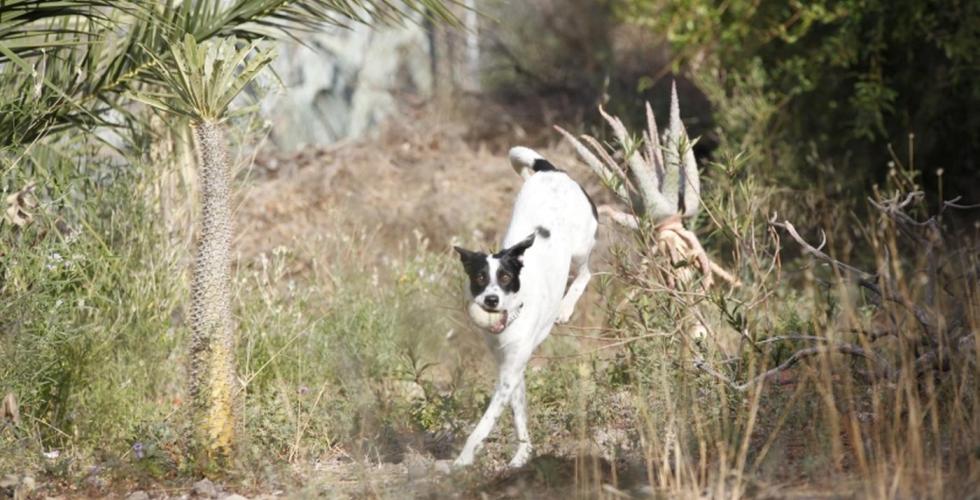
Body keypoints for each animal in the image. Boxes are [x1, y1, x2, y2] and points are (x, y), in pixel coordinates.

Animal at [452, 146, 596, 466]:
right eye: (480, 278)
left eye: (505, 278)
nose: (491, 300)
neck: (512, 316)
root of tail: (552, 170)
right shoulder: (511, 369)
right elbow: (519, 415)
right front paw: (522, 455)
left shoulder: (507, 376)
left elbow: (483, 425)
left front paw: (463, 460)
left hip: (581, 247)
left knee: (586, 273)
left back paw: (566, 307)